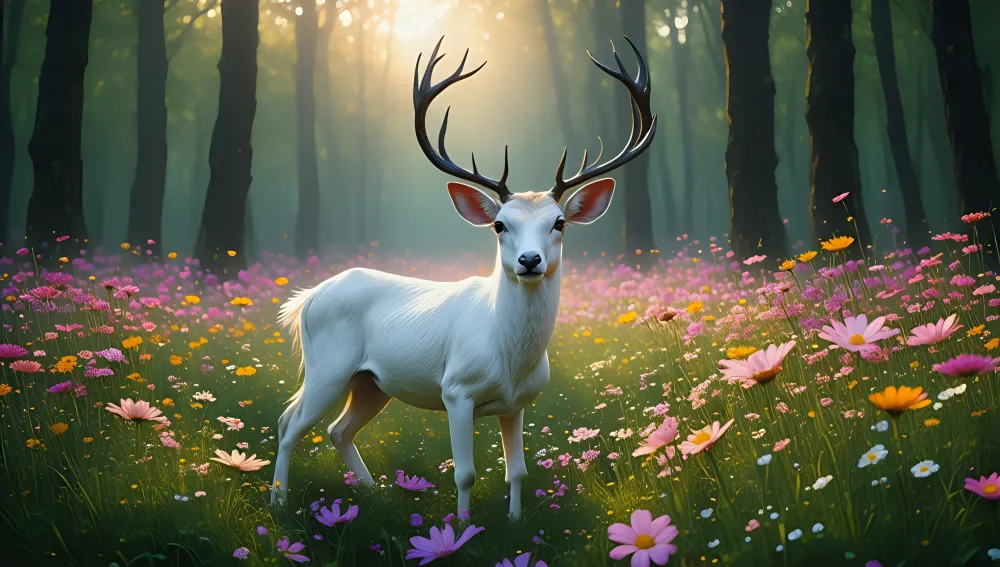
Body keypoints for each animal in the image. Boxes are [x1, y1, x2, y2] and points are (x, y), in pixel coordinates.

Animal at [270, 36, 656, 520]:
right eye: (499, 225)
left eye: (560, 222)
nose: (530, 260)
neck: (509, 356)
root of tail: (306, 299)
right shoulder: (456, 391)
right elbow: (466, 473)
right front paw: (462, 525)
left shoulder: (518, 404)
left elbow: (518, 472)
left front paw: (514, 521)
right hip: (328, 365)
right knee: (289, 423)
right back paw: (279, 503)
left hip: (372, 382)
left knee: (338, 430)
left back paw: (374, 493)